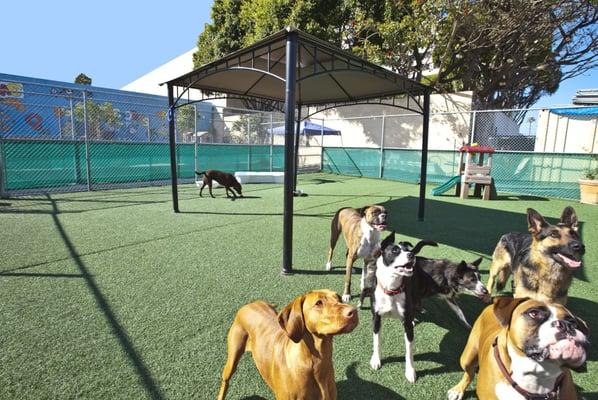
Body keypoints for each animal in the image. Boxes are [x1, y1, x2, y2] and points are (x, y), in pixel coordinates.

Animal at [450, 296, 592, 400]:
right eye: (534, 313)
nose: (567, 325)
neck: (538, 374)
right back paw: (458, 390)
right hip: (467, 357)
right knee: (469, 373)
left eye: (573, 322)